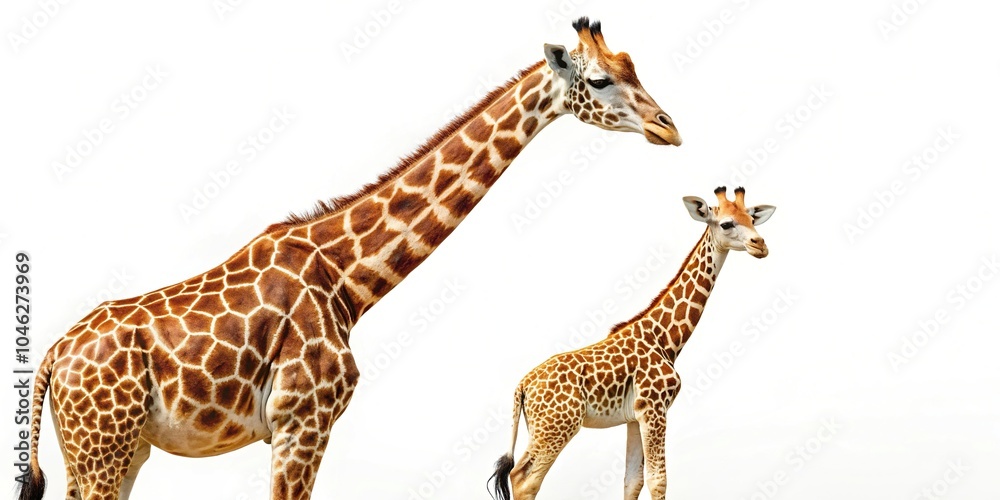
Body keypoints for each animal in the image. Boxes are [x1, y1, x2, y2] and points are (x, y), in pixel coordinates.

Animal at [17, 17, 681, 500]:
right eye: (600, 81)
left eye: (634, 66)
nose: (668, 128)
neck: (347, 279)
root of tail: (51, 358)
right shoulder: (301, 422)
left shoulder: (301, 428)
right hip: (101, 449)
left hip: (121, 449)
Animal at [488, 187, 776, 500]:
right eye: (726, 223)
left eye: (752, 218)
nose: (760, 246)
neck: (665, 339)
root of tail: (522, 387)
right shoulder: (654, 407)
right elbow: (658, 479)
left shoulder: (634, 417)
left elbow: (632, 480)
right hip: (558, 426)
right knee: (525, 478)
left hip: (540, 428)